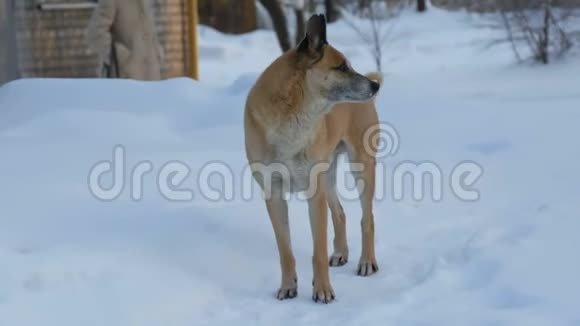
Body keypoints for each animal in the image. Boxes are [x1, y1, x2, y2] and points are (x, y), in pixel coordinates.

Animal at [244, 13, 380, 304]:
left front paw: (323, 290)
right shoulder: (273, 194)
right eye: (341, 67)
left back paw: (367, 262)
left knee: (367, 218)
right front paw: (288, 286)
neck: (291, 115)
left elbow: (317, 251)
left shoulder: (313, 193)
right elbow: (285, 250)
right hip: (327, 174)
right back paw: (340, 253)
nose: (374, 86)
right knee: (340, 213)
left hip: (361, 166)